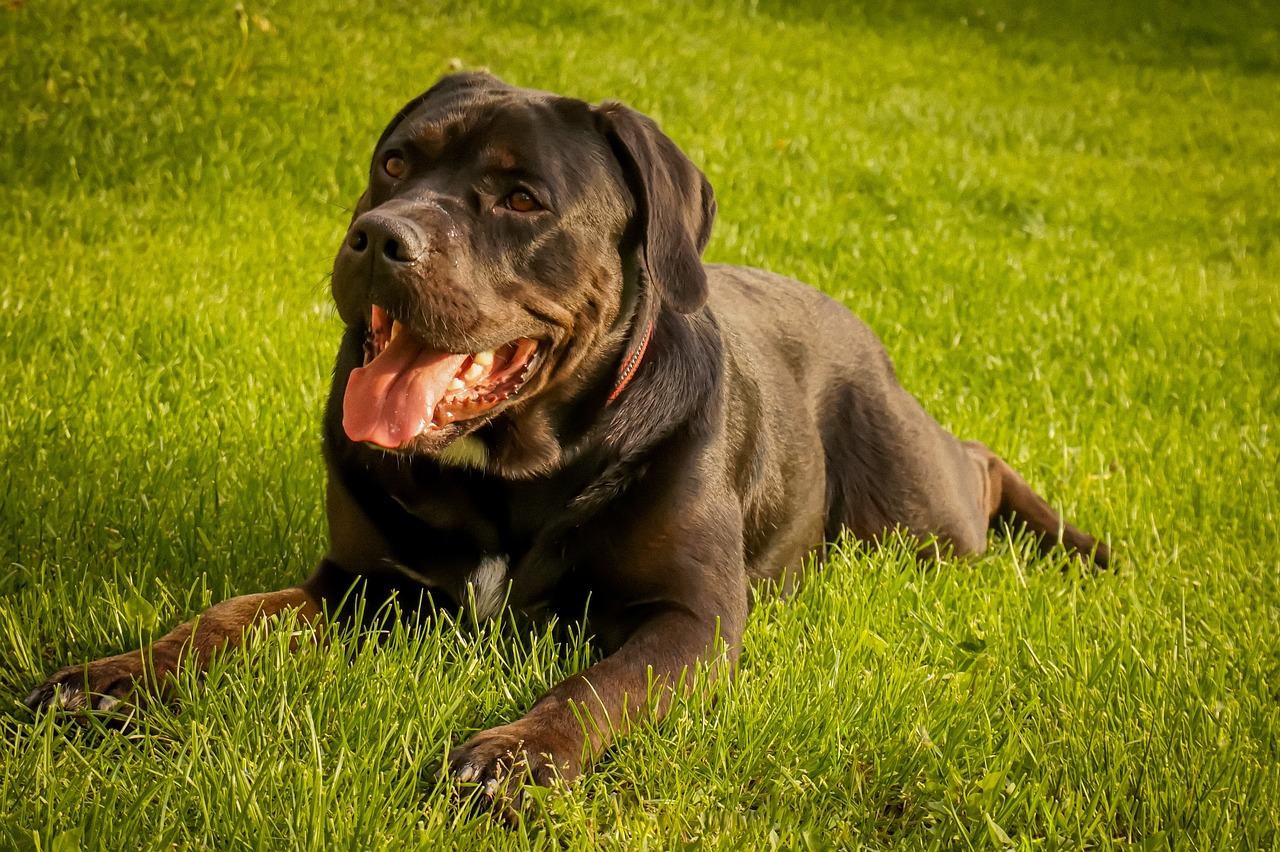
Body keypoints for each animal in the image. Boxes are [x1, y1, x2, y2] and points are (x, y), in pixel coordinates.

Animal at [27, 71, 1111, 808]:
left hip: (916, 515)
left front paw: (515, 755)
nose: (379, 236)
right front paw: (115, 677)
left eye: (520, 199)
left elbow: (600, 685)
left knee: (976, 469)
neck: (510, 471)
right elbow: (226, 618)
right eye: (393, 164)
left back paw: (1083, 546)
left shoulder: (687, 616)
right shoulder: (361, 584)